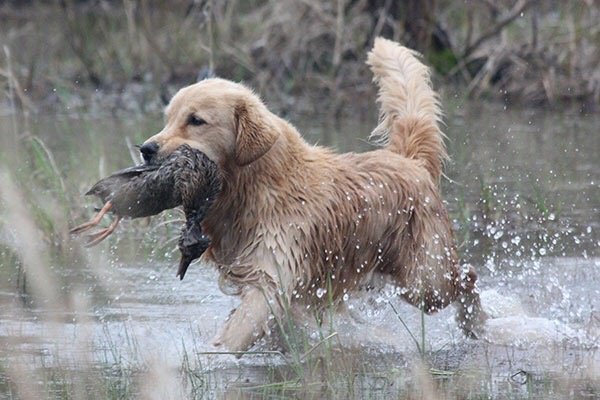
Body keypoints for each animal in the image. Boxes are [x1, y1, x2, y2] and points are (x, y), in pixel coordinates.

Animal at [141, 37, 488, 350]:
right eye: (168, 119)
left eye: (196, 120)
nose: (146, 149)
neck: (256, 187)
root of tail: (408, 160)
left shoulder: (272, 277)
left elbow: (237, 332)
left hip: (425, 279)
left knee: (467, 278)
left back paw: (476, 326)